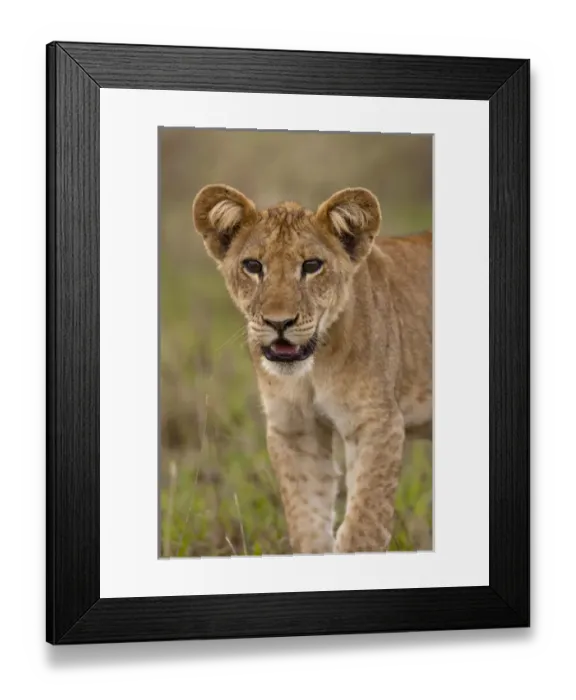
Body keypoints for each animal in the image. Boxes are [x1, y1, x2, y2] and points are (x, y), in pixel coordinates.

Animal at [192, 184, 432, 555]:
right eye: (253, 265)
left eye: (312, 265)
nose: (279, 323)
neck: (311, 372)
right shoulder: (294, 430)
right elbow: (307, 522)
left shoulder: (378, 422)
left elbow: (363, 527)